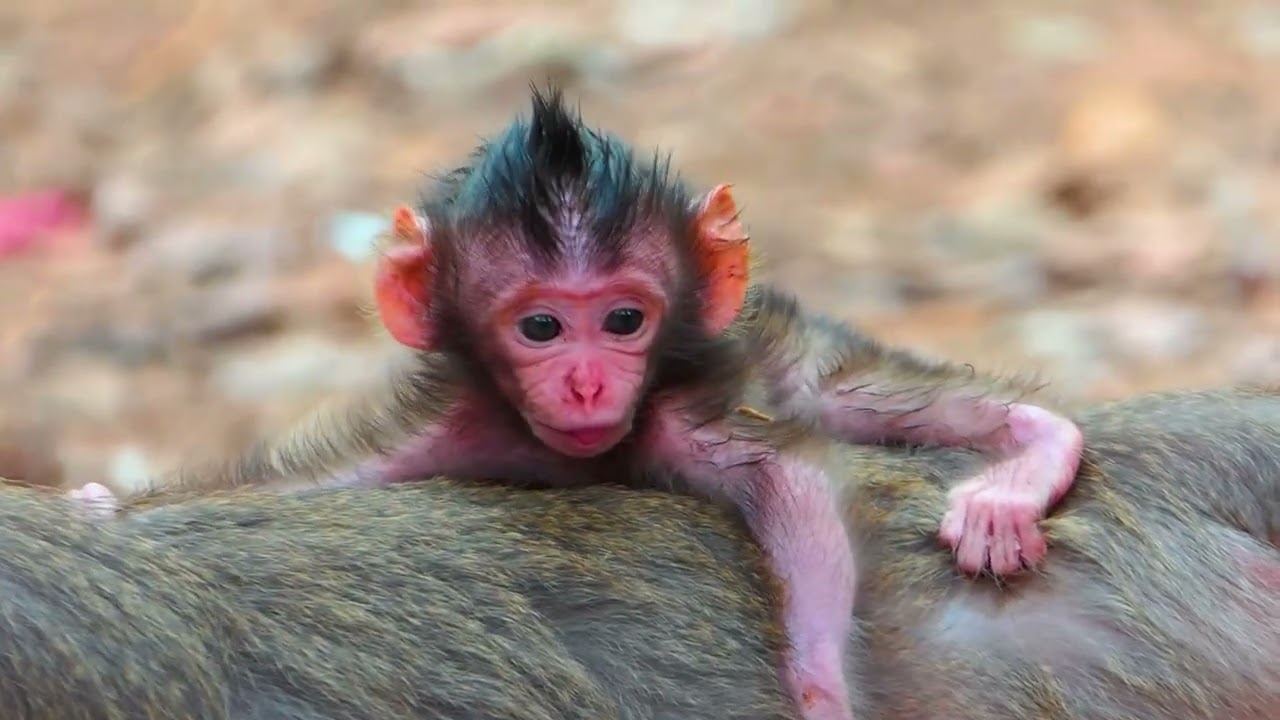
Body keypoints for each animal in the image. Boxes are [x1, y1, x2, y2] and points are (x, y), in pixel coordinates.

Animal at [84, 86, 1084, 720]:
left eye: (624, 319)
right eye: (541, 329)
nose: (589, 381)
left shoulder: (673, 416)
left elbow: (793, 490)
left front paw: (822, 694)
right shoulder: (460, 428)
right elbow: (314, 491)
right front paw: (102, 505)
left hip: (778, 347)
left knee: (840, 391)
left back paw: (1030, 457)